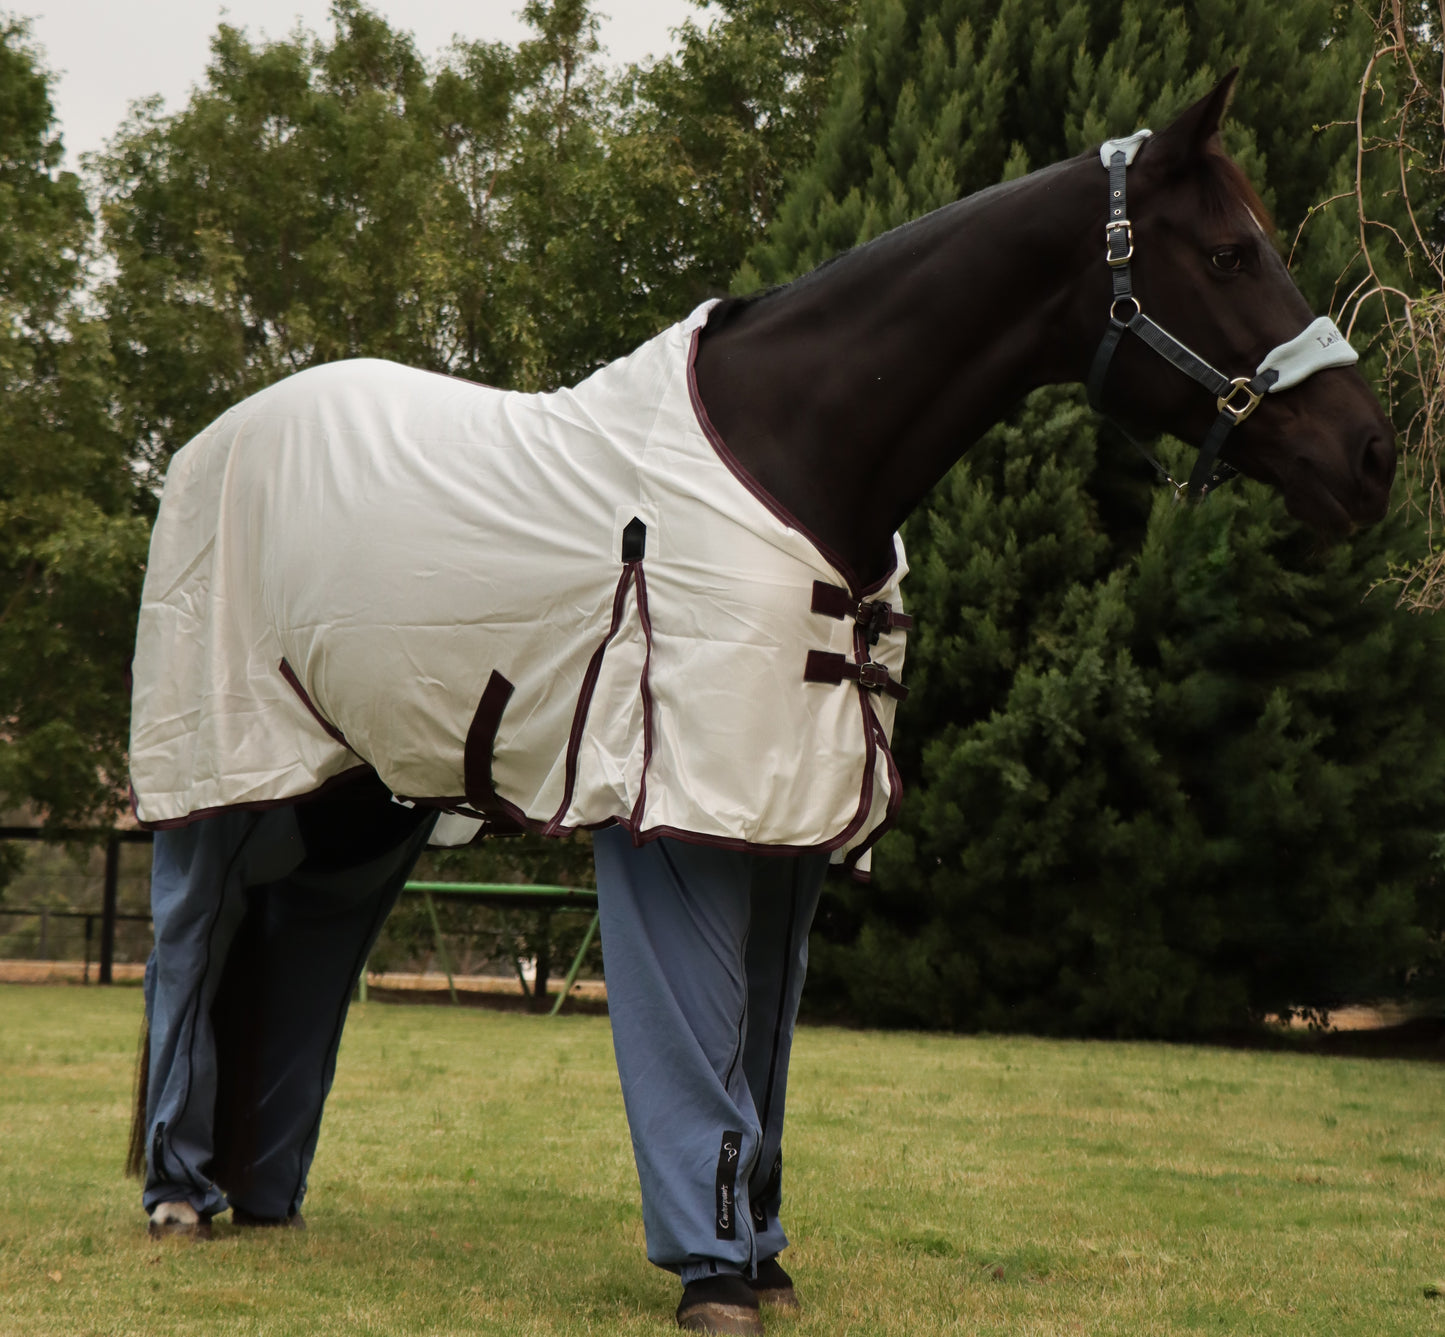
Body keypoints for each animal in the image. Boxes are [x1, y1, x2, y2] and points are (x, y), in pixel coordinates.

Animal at [126, 72, 1392, 1335]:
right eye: (1229, 254)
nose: (1371, 458)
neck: (801, 450)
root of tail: (206, 443)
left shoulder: (790, 830)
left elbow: (763, 1053)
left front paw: (766, 1259)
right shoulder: (684, 817)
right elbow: (699, 1041)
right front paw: (711, 1271)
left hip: (357, 796)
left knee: (297, 936)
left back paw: (261, 1198)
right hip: (222, 769)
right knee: (195, 936)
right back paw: (179, 1194)